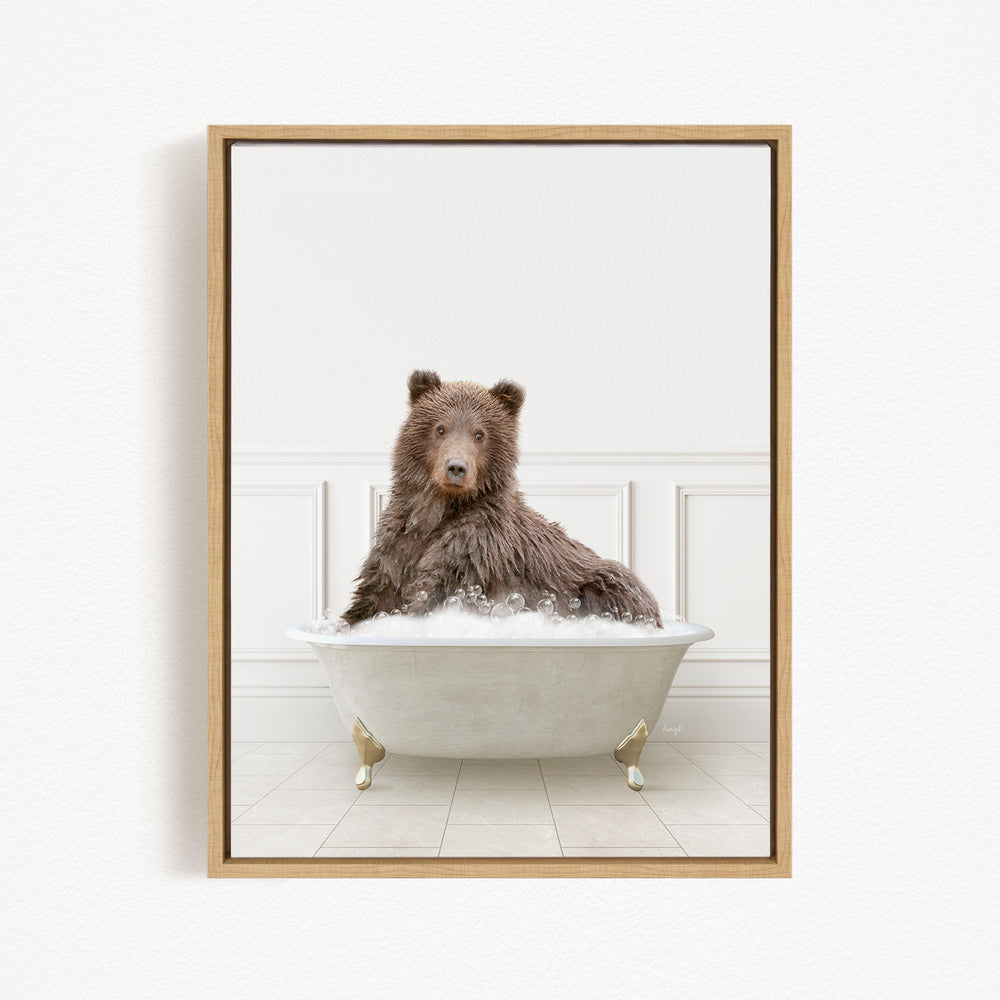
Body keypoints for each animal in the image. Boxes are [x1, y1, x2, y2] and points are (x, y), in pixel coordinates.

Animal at [340, 369, 662, 627]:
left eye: (480, 434)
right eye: (440, 428)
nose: (456, 467)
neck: (439, 511)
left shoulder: (475, 550)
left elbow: (432, 591)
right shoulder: (398, 545)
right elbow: (374, 596)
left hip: (600, 581)